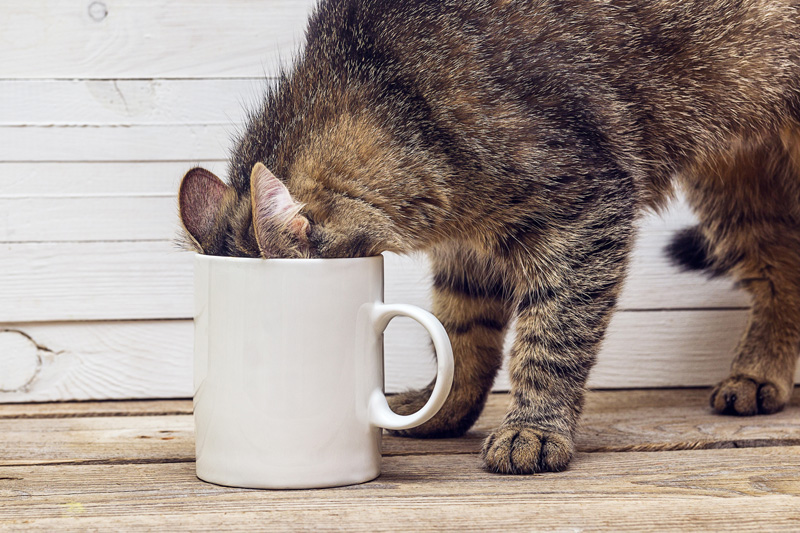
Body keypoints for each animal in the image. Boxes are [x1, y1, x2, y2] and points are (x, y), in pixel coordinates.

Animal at [178, 0, 796, 474]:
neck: (401, 97)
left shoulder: (588, 210)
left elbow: (551, 337)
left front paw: (535, 430)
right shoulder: (469, 246)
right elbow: (462, 335)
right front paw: (442, 409)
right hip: (736, 185)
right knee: (781, 272)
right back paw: (758, 374)